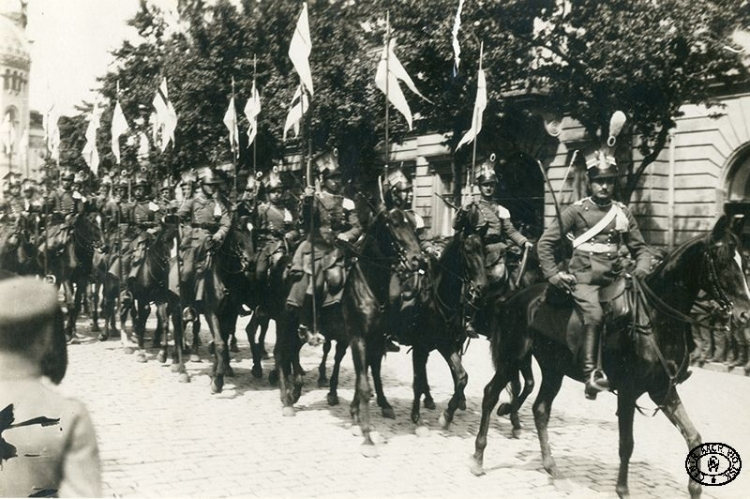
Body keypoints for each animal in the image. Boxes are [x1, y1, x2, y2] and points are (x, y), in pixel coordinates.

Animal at [276, 205, 426, 456]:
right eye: (394, 225)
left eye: (413, 225)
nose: (418, 259)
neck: (369, 284)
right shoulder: (358, 339)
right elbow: (364, 385)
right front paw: (367, 437)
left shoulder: (375, 340)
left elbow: (365, 377)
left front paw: (358, 418)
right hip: (283, 321)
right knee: (280, 353)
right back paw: (286, 402)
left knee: (292, 352)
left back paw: (294, 391)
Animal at [472, 216, 750, 499]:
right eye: (722, 260)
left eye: (743, 260)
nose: (744, 315)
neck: (655, 318)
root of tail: (514, 298)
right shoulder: (628, 391)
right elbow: (626, 444)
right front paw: (623, 490)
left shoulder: (662, 390)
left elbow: (693, 436)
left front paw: (695, 488)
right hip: (512, 359)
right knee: (491, 394)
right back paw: (479, 457)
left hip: (553, 370)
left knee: (540, 409)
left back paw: (553, 469)